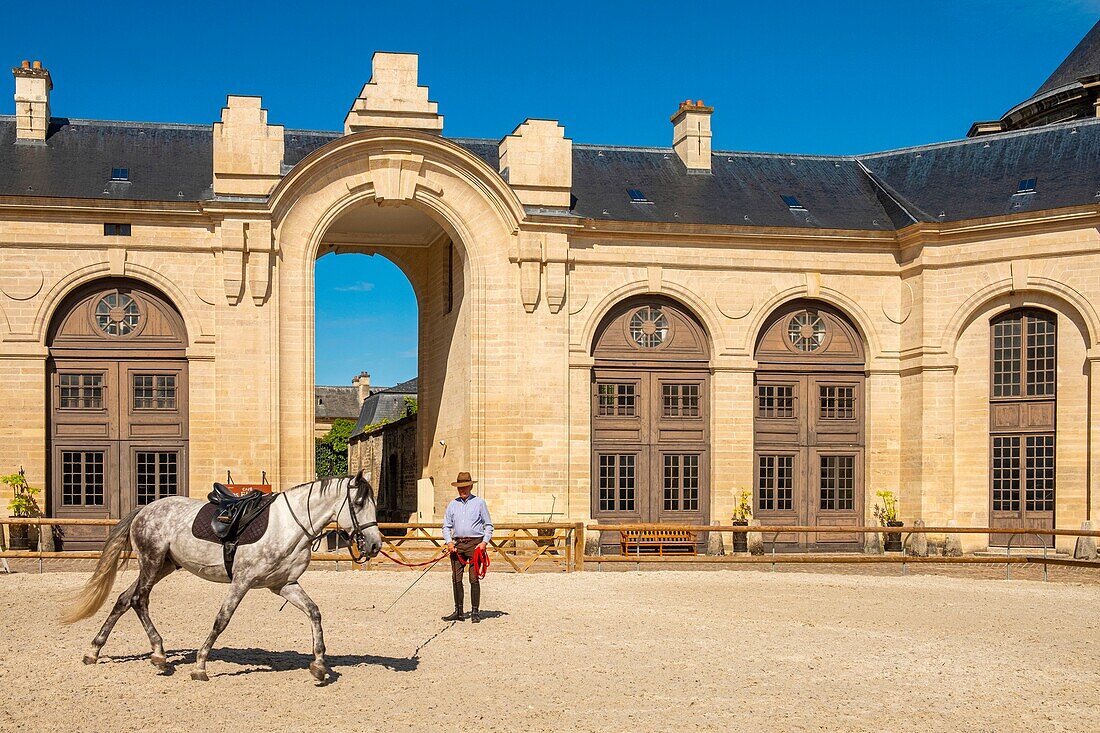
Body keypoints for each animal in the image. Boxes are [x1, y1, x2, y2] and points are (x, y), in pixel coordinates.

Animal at [58, 468, 382, 677]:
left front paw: (319, 664)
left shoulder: (284, 584)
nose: (375, 545)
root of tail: (144, 510)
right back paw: (160, 655)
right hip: (151, 562)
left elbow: (314, 612)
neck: (290, 525)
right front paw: (201, 665)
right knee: (139, 600)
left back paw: (94, 651)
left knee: (125, 599)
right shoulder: (242, 581)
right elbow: (221, 620)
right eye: (358, 503)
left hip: (163, 565)